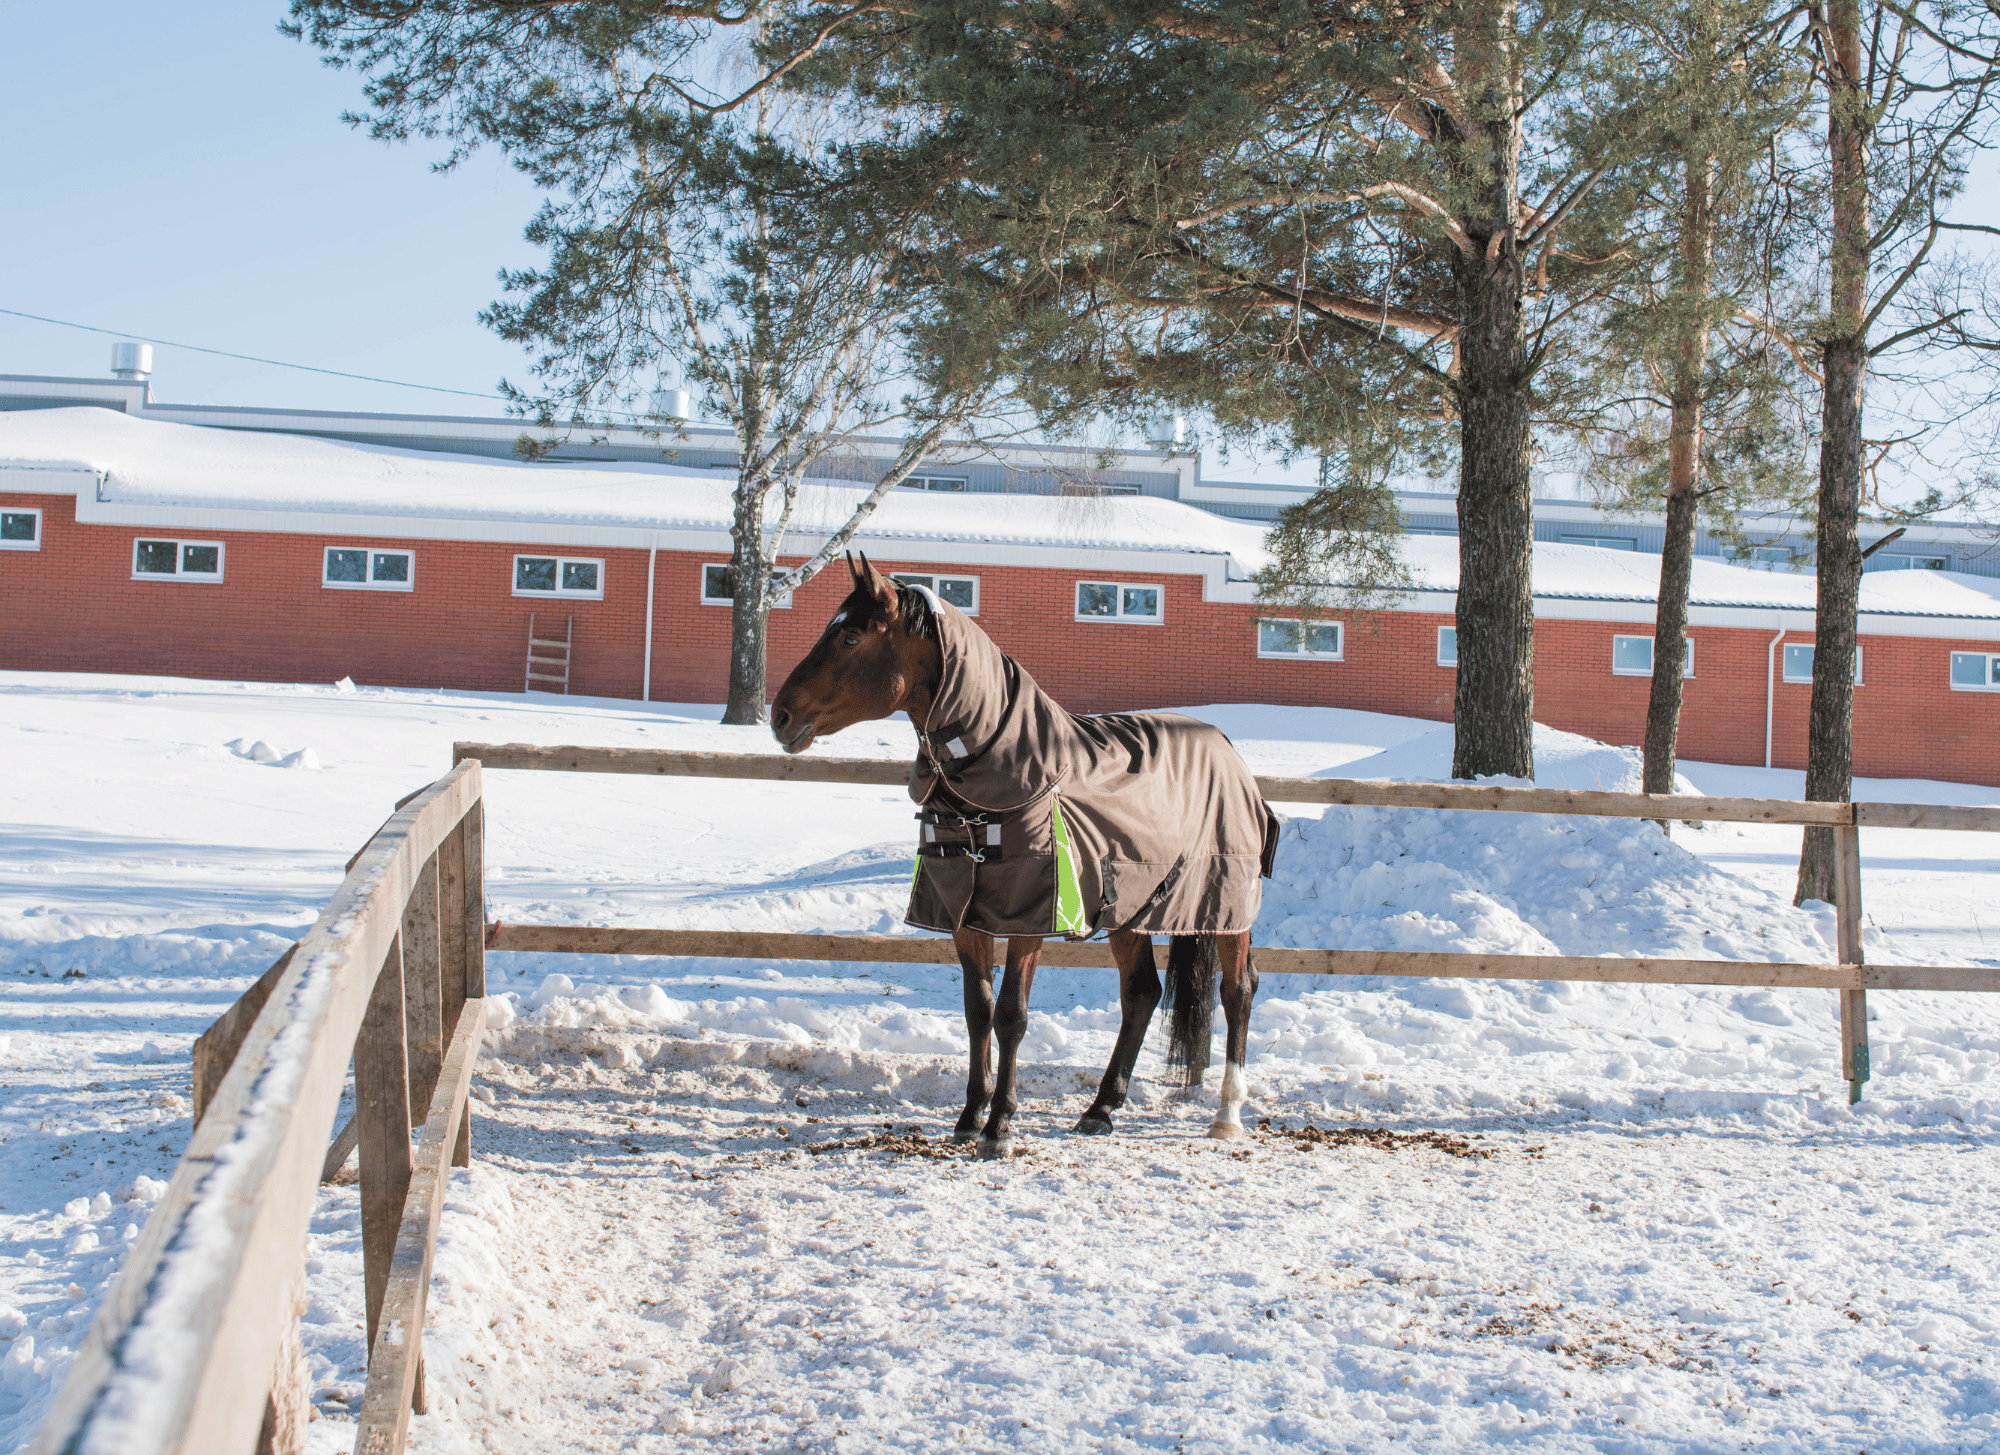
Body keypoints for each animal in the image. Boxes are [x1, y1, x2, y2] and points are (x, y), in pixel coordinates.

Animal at [771, 554, 1280, 1159]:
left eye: (850, 636)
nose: (779, 716)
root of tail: (1230, 755)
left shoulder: (1030, 918)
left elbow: (1011, 1015)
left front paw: (1000, 1127)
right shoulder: (966, 917)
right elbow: (978, 1012)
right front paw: (969, 1116)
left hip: (1226, 911)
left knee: (1237, 991)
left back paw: (1227, 1112)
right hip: (1131, 908)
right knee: (1142, 994)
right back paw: (1101, 1108)